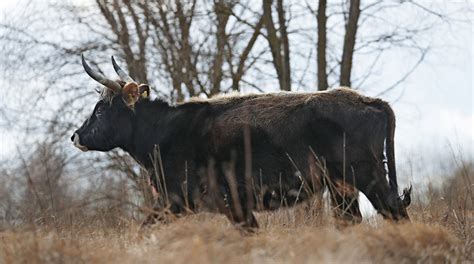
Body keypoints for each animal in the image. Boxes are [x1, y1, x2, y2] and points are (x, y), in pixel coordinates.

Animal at [70, 55, 412, 229]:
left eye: (100, 109)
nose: (76, 135)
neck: (164, 133)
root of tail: (369, 100)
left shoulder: (180, 200)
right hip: (343, 187)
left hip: (367, 176)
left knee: (396, 212)